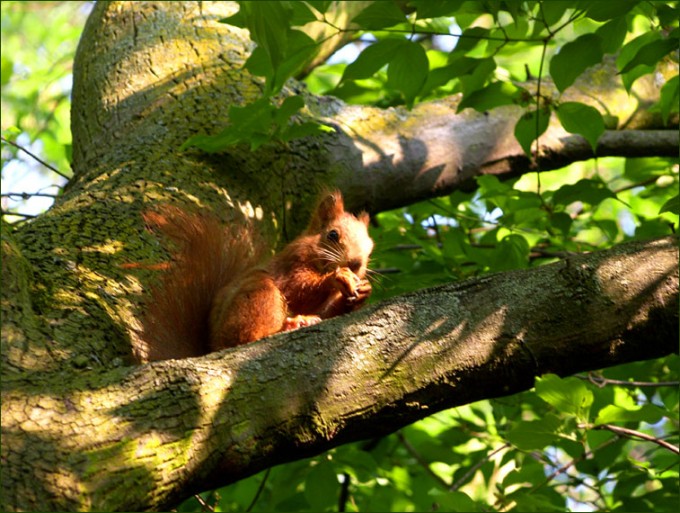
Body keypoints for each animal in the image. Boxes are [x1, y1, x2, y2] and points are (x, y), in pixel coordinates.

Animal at [136, 190, 373, 361]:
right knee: (247, 338)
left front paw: (363, 291)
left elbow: (327, 313)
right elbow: (298, 289)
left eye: (371, 246)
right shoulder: (290, 264)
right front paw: (339, 277)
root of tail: (213, 346)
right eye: (332, 234)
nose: (355, 264)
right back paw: (290, 325)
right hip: (259, 293)